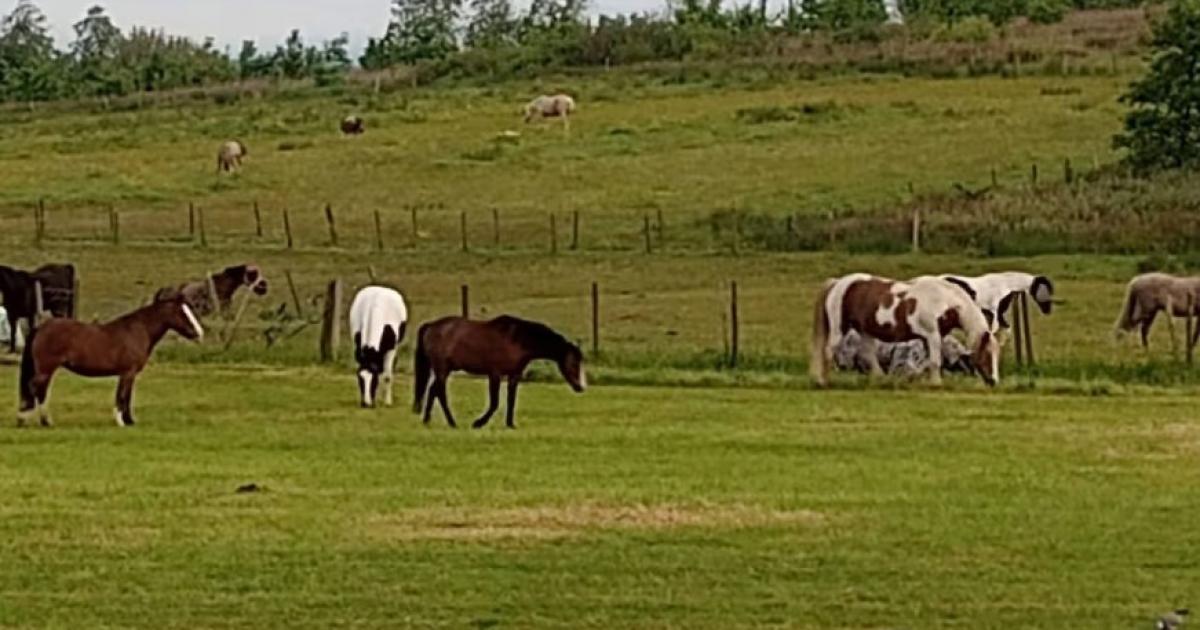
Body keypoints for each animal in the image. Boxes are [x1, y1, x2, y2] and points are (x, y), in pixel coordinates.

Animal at [17, 295, 204, 428]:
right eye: (182, 313)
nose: (199, 333)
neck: (138, 331)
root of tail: (41, 327)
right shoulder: (127, 372)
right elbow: (121, 396)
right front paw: (121, 421)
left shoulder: (130, 374)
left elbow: (127, 397)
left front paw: (130, 421)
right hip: (46, 369)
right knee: (34, 388)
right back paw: (35, 421)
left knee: (40, 390)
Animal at [413, 315, 586, 429]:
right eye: (574, 362)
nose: (580, 387)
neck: (517, 339)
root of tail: (431, 326)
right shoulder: (495, 374)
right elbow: (495, 403)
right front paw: (478, 423)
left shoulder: (514, 376)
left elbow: (511, 400)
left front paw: (510, 424)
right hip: (442, 369)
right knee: (441, 394)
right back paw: (451, 422)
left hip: (444, 370)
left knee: (433, 391)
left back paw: (427, 420)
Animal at [811, 273, 999, 387]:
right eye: (987, 354)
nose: (994, 381)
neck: (944, 300)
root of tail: (838, 283)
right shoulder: (932, 336)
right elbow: (935, 362)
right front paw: (936, 384)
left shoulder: (932, 339)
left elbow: (927, 363)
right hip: (839, 329)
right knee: (828, 351)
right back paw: (823, 382)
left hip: (865, 331)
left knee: (868, 355)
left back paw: (881, 380)